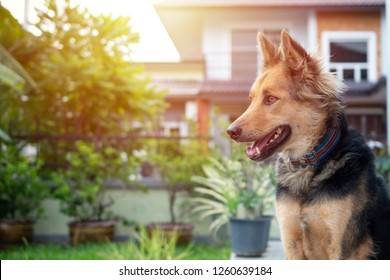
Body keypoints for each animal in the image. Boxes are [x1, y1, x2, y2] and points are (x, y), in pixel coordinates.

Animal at [227, 29, 390, 260]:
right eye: (252, 99)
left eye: (270, 99)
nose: (230, 131)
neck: (306, 164)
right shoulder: (291, 241)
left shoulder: (340, 247)